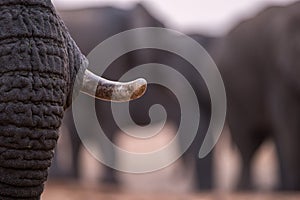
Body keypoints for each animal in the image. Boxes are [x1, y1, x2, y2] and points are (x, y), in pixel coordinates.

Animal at [212, 1, 300, 191]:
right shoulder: (277, 70)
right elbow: (289, 120)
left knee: (255, 143)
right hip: (232, 94)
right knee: (246, 143)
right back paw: (247, 189)